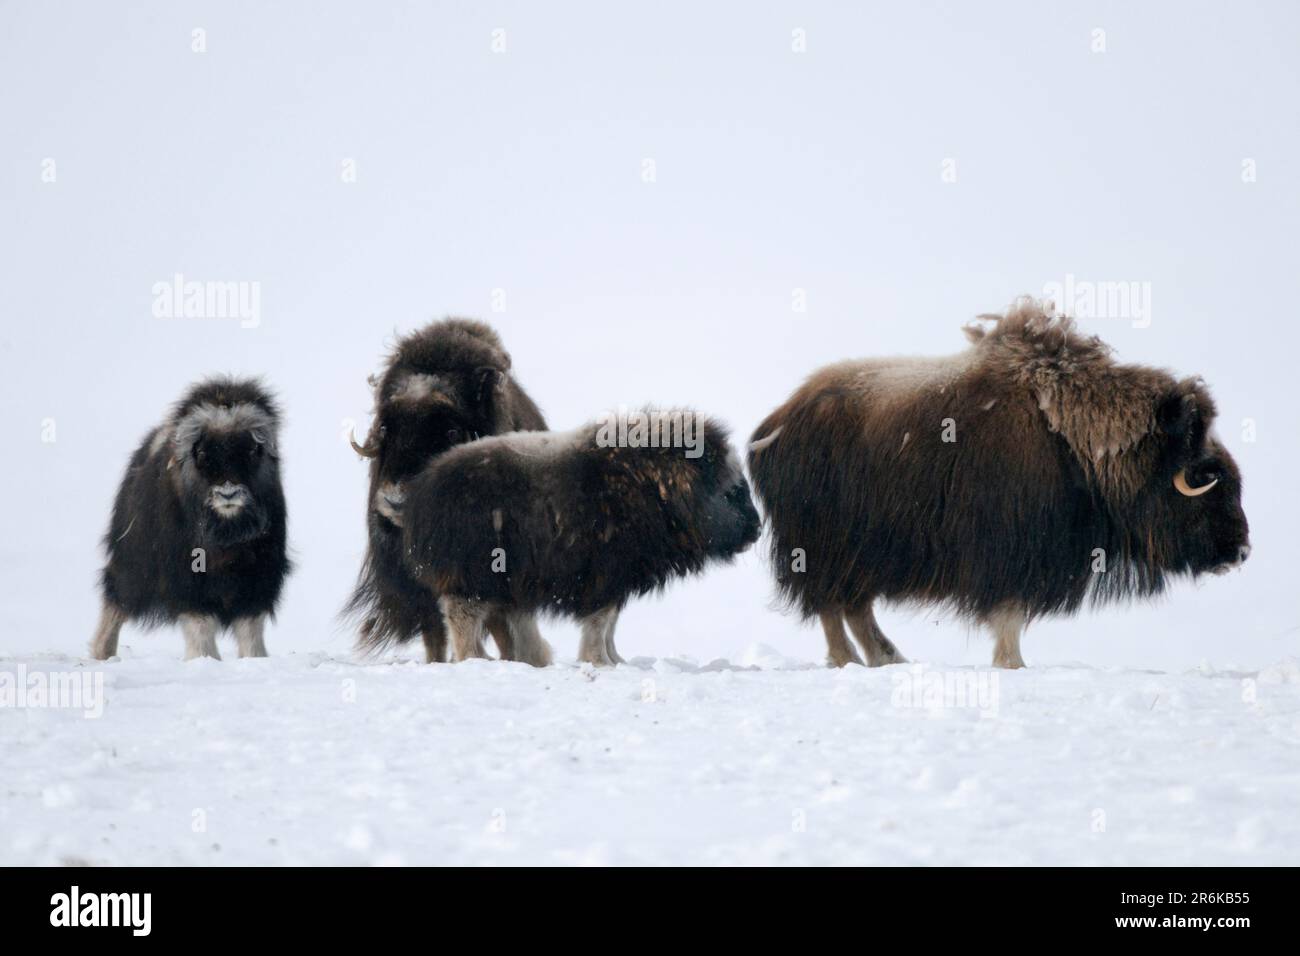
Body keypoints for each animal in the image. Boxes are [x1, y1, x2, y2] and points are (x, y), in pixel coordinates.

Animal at [92, 377, 292, 660]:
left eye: (253, 449)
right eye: (203, 452)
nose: (228, 493)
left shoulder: (258, 576)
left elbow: (250, 626)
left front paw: (254, 659)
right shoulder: (188, 576)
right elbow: (200, 622)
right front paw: (204, 659)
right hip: (133, 562)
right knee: (116, 599)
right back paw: (102, 652)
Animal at [400, 408, 759, 665]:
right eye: (733, 492)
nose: (756, 530)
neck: (657, 490)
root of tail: (424, 487)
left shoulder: (618, 580)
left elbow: (611, 624)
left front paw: (616, 660)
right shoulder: (604, 577)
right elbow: (601, 622)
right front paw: (599, 662)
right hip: (472, 580)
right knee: (463, 620)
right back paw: (475, 660)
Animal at [754, 303, 1248, 671]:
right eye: (1208, 475)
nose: (1242, 552)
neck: (1081, 442)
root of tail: (776, 423)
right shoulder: (1011, 553)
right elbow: (1009, 616)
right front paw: (1013, 665)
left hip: (861, 556)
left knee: (853, 607)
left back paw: (887, 658)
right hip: (824, 549)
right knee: (832, 606)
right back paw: (850, 660)